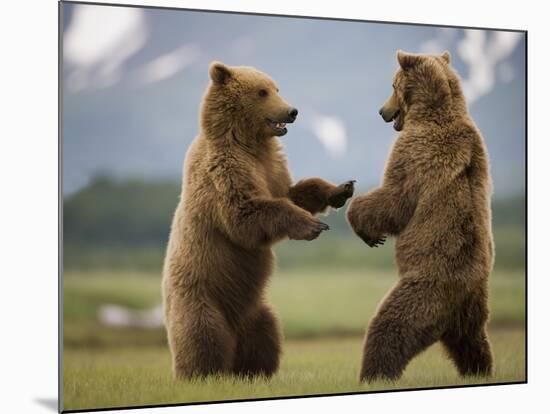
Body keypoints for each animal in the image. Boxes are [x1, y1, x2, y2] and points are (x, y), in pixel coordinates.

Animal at [162, 59, 356, 380]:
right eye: (262, 92)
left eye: (277, 88)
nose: (292, 111)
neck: (248, 142)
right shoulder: (225, 171)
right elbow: (246, 214)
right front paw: (313, 225)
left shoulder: (271, 167)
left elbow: (293, 192)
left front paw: (340, 189)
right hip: (199, 297)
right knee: (202, 336)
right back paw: (203, 374)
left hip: (255, 309)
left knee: (267, 334)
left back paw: (253, 371)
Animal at [352, 51, 498, 382]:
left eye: (392, 84)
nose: (382, 111)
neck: (432, 111)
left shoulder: (416, 152)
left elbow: (395, 198)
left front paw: (364, 227)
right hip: (473, 305)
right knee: (473, 340)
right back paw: (479, 371)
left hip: (427, 287)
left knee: (390, 325)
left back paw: (374, 374)